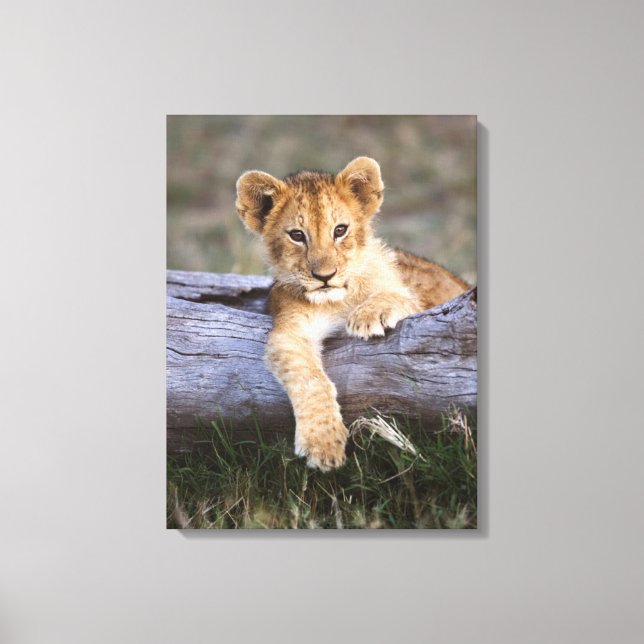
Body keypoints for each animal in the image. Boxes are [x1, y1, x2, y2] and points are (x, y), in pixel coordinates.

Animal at [236, 157, 469, 471]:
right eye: (297, 235)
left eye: (340, 230)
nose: (325, 276)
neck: (337, 300)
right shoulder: (290, 330)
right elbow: (310, 379)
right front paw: (322, 444)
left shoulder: (418, 304)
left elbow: (396, 295)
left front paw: (369, 315)